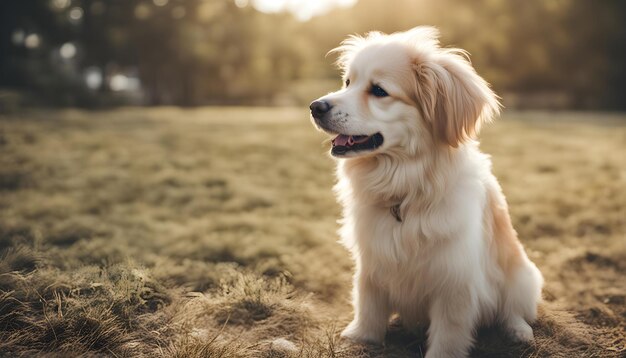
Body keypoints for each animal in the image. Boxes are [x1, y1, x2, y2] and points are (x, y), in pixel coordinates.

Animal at [308, 27, 540, 358]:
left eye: (379, 91)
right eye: (348, 82)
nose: (316, 107)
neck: (403, 189)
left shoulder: (454, 280)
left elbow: (449, 331)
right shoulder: (371, 263)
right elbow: (368, 304)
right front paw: (361, 337)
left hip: (523, 275)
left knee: (513, 308)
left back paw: (518, 330)